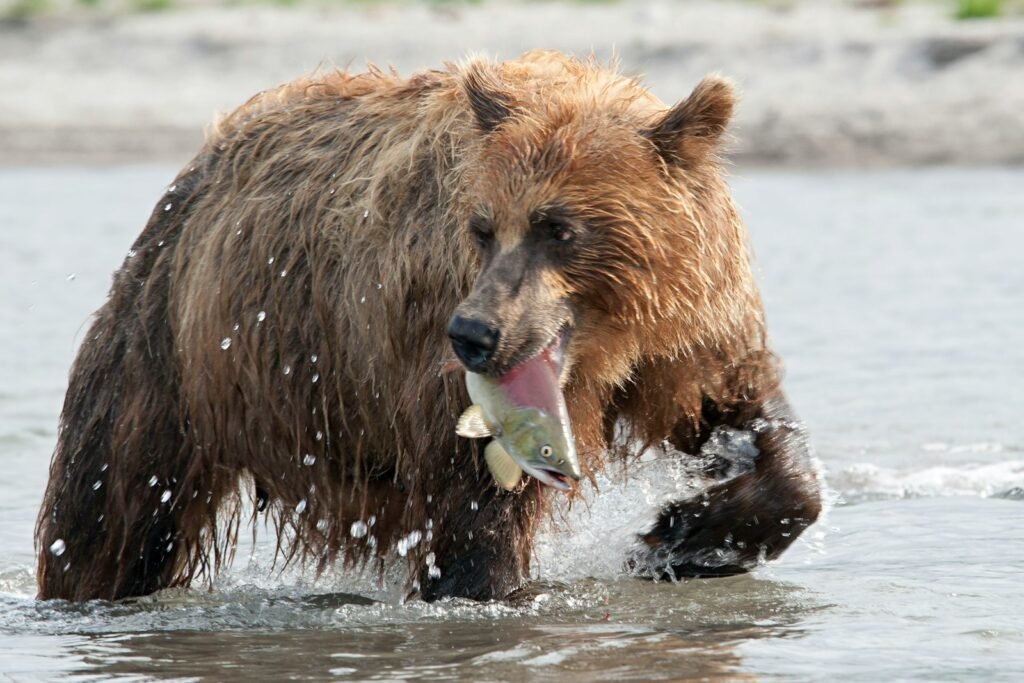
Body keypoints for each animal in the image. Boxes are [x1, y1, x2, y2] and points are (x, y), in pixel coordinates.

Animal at [36, 51, 821, 602]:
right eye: (482, 226)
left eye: (559, 228)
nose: (474, 333)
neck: (609, 339)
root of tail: (203, 161)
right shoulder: (439, 361)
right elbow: (476, 518)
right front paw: (489, 588)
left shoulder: (688, 333)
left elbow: (744, 417)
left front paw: (681, 538)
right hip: (171, 354)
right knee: (114, 508)